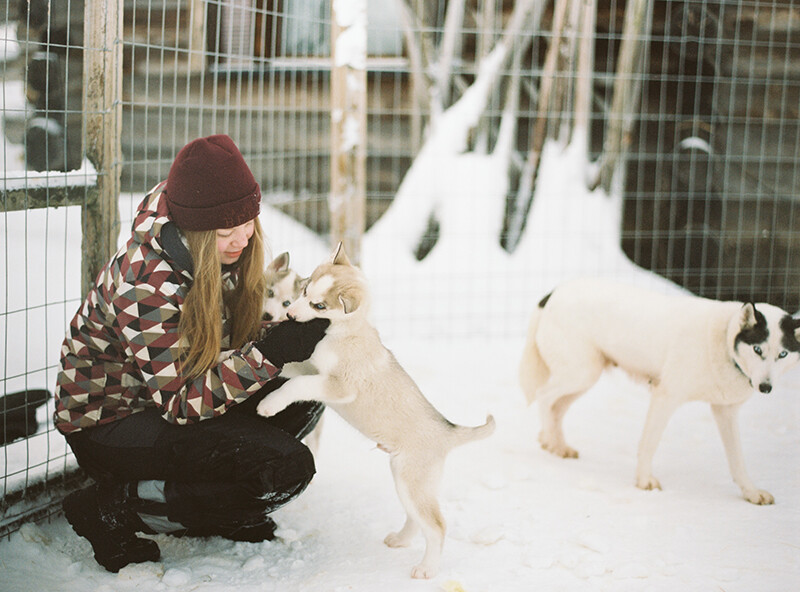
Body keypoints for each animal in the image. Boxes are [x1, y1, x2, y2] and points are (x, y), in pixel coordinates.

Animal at [256, 242, 494, 580]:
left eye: (318, 305)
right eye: (304, 292)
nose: (288, 314)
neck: (342, 331)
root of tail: (447, 430)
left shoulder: (338, 385)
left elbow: (298, 385)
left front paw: (269, 404)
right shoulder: (311, 365)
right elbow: (290, 369)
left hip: (411, 479)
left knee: (436, 526)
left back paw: (427, 568)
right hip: (405, 479)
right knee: (417, 517)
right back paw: (401, 539)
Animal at [520, 278, 800, 504]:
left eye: (783, 354)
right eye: (757, 349)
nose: (766, 387)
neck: (723, 340)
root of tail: (555, 292)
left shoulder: (726, 412)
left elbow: (738, 460)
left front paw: (751, 492)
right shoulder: (665, 397)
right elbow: (649, 444)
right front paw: (644, 481)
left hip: (584, 379)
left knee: (556, 408)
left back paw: (558, 445)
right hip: (580, 374)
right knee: (544, 397)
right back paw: (550, 443)